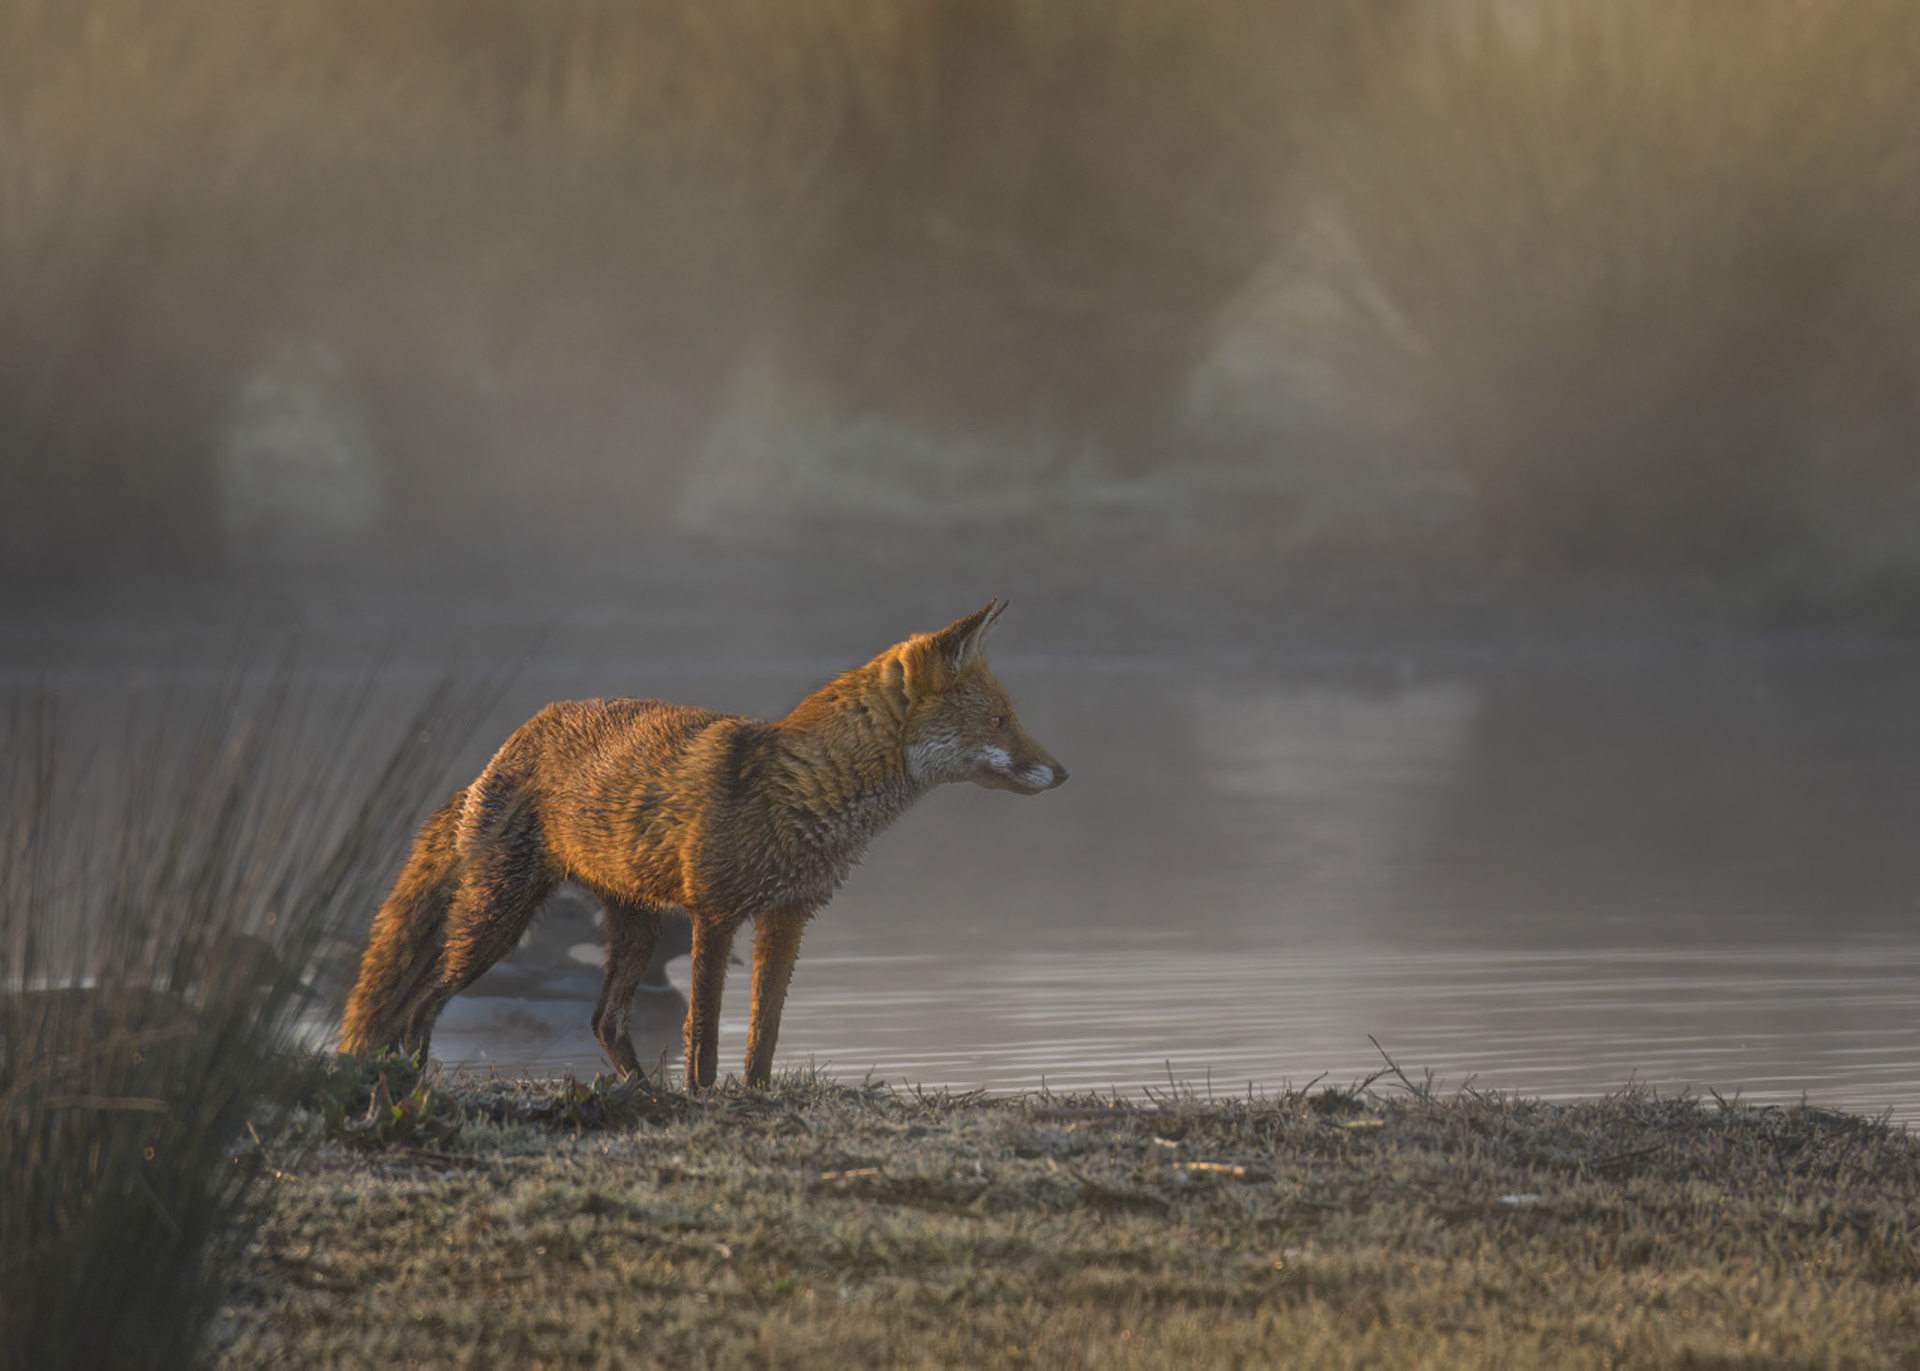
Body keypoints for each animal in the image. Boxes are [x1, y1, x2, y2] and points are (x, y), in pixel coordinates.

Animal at [339, 601, 1067, 1089]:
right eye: (1001, 720)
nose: (1064, 774)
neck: (803, 794)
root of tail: (504, 748)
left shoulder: (788, 915)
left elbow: (763, 1036)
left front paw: (756, 1098)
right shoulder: (714, 915)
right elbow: (707, 1041)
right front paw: (705, 1098)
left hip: (637, 926)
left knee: (604, 1020)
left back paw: (642, 1092)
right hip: (498, 922)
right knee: (417, 1005)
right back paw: (416, 1081)